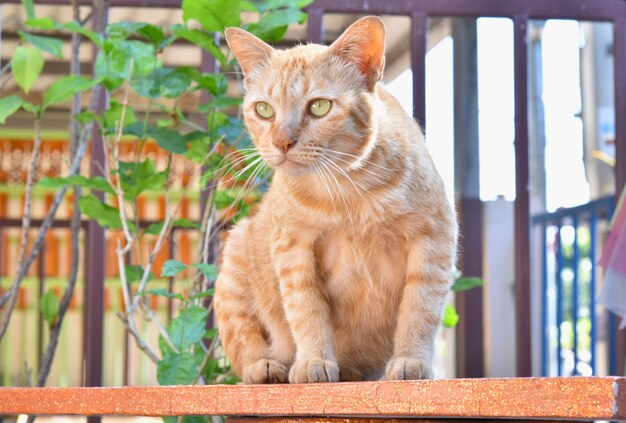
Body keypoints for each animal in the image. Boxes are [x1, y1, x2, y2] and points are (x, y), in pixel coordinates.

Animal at [213, 15, 454, 384]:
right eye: (264, 110)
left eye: (319, 106)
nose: (282, 142)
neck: (347, 192)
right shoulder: (294, 248)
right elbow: (306, 310)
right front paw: (313, 361)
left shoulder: (432, 239)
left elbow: (420, 308)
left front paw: (410, 361)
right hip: (235, 261)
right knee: (246, 342)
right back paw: (267, 367)